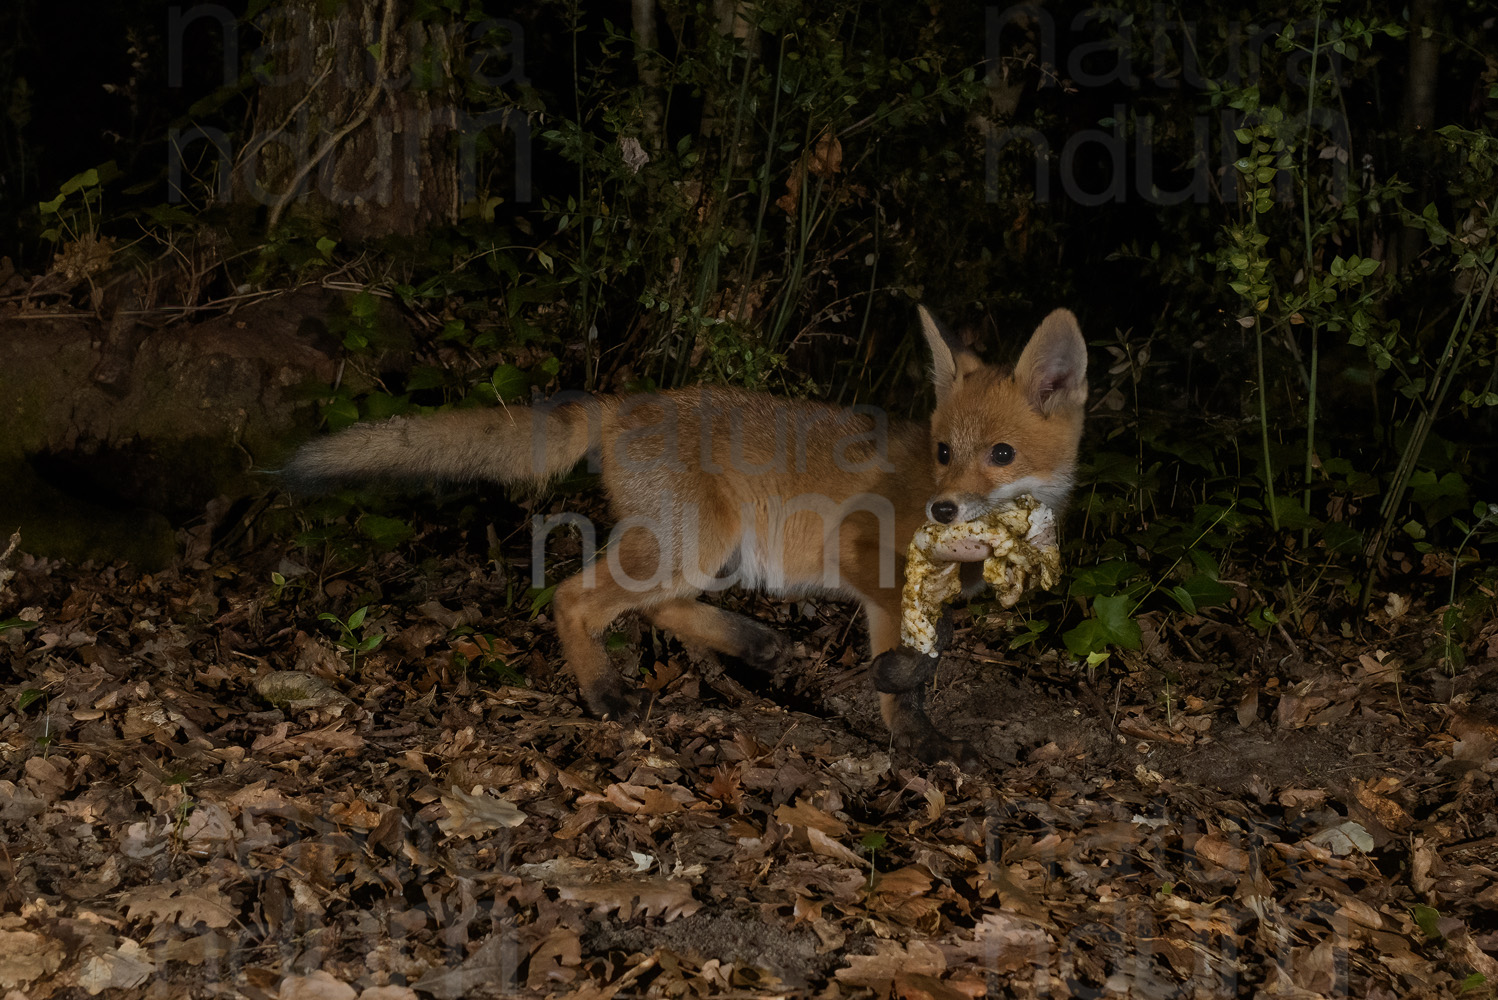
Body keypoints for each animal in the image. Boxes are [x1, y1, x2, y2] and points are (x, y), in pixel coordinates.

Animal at [286, 308, 1090, 760]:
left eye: (1002, 455)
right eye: (945, 452)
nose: (943, 511)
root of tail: (619, 402)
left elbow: (924, 663)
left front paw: (917, 732)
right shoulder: (865, 557)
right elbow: (913, 668)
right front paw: (917, 731)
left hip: (708, 552)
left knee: (661, 606)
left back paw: (754, 645)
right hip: (695, 543)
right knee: (576, 598)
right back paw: (604, 694)